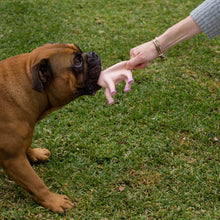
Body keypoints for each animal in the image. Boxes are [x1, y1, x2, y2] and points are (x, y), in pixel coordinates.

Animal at [0, 43, 101, 213]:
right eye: (77, 62)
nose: (94, 54)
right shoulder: (13, 160)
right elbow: (35, 182)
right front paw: (54, 200)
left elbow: (27, 144)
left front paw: (35, 153)